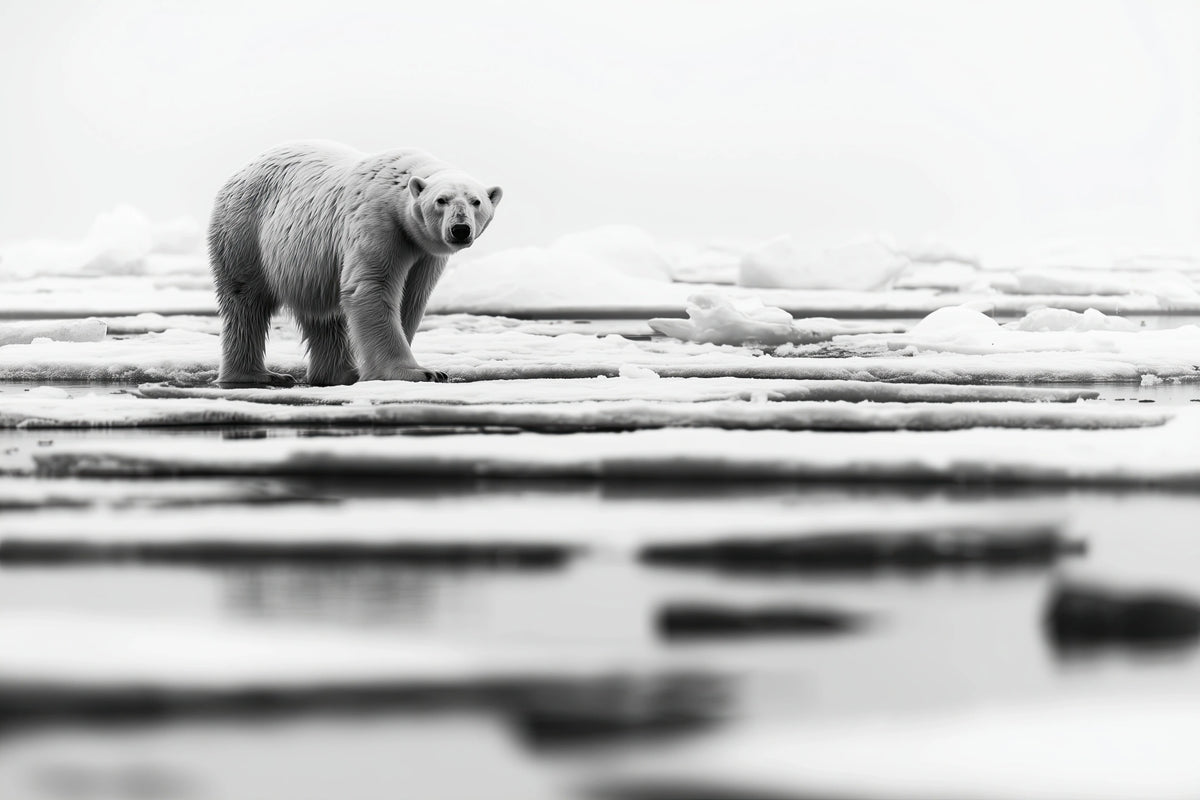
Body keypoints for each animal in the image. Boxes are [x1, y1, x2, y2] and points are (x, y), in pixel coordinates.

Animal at [207, 140, 502, 387]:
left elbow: (412, 297)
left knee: (324, 316)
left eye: (476, 201)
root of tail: (243, 169)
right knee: (245, 301)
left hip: (310, 264)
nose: (460, 229)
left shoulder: (425, 252)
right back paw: (258, 375)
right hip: (245, 231)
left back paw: (339, 374)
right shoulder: (379, 222)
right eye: (441, 200)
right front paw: (420, 372)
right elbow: (372, 287)